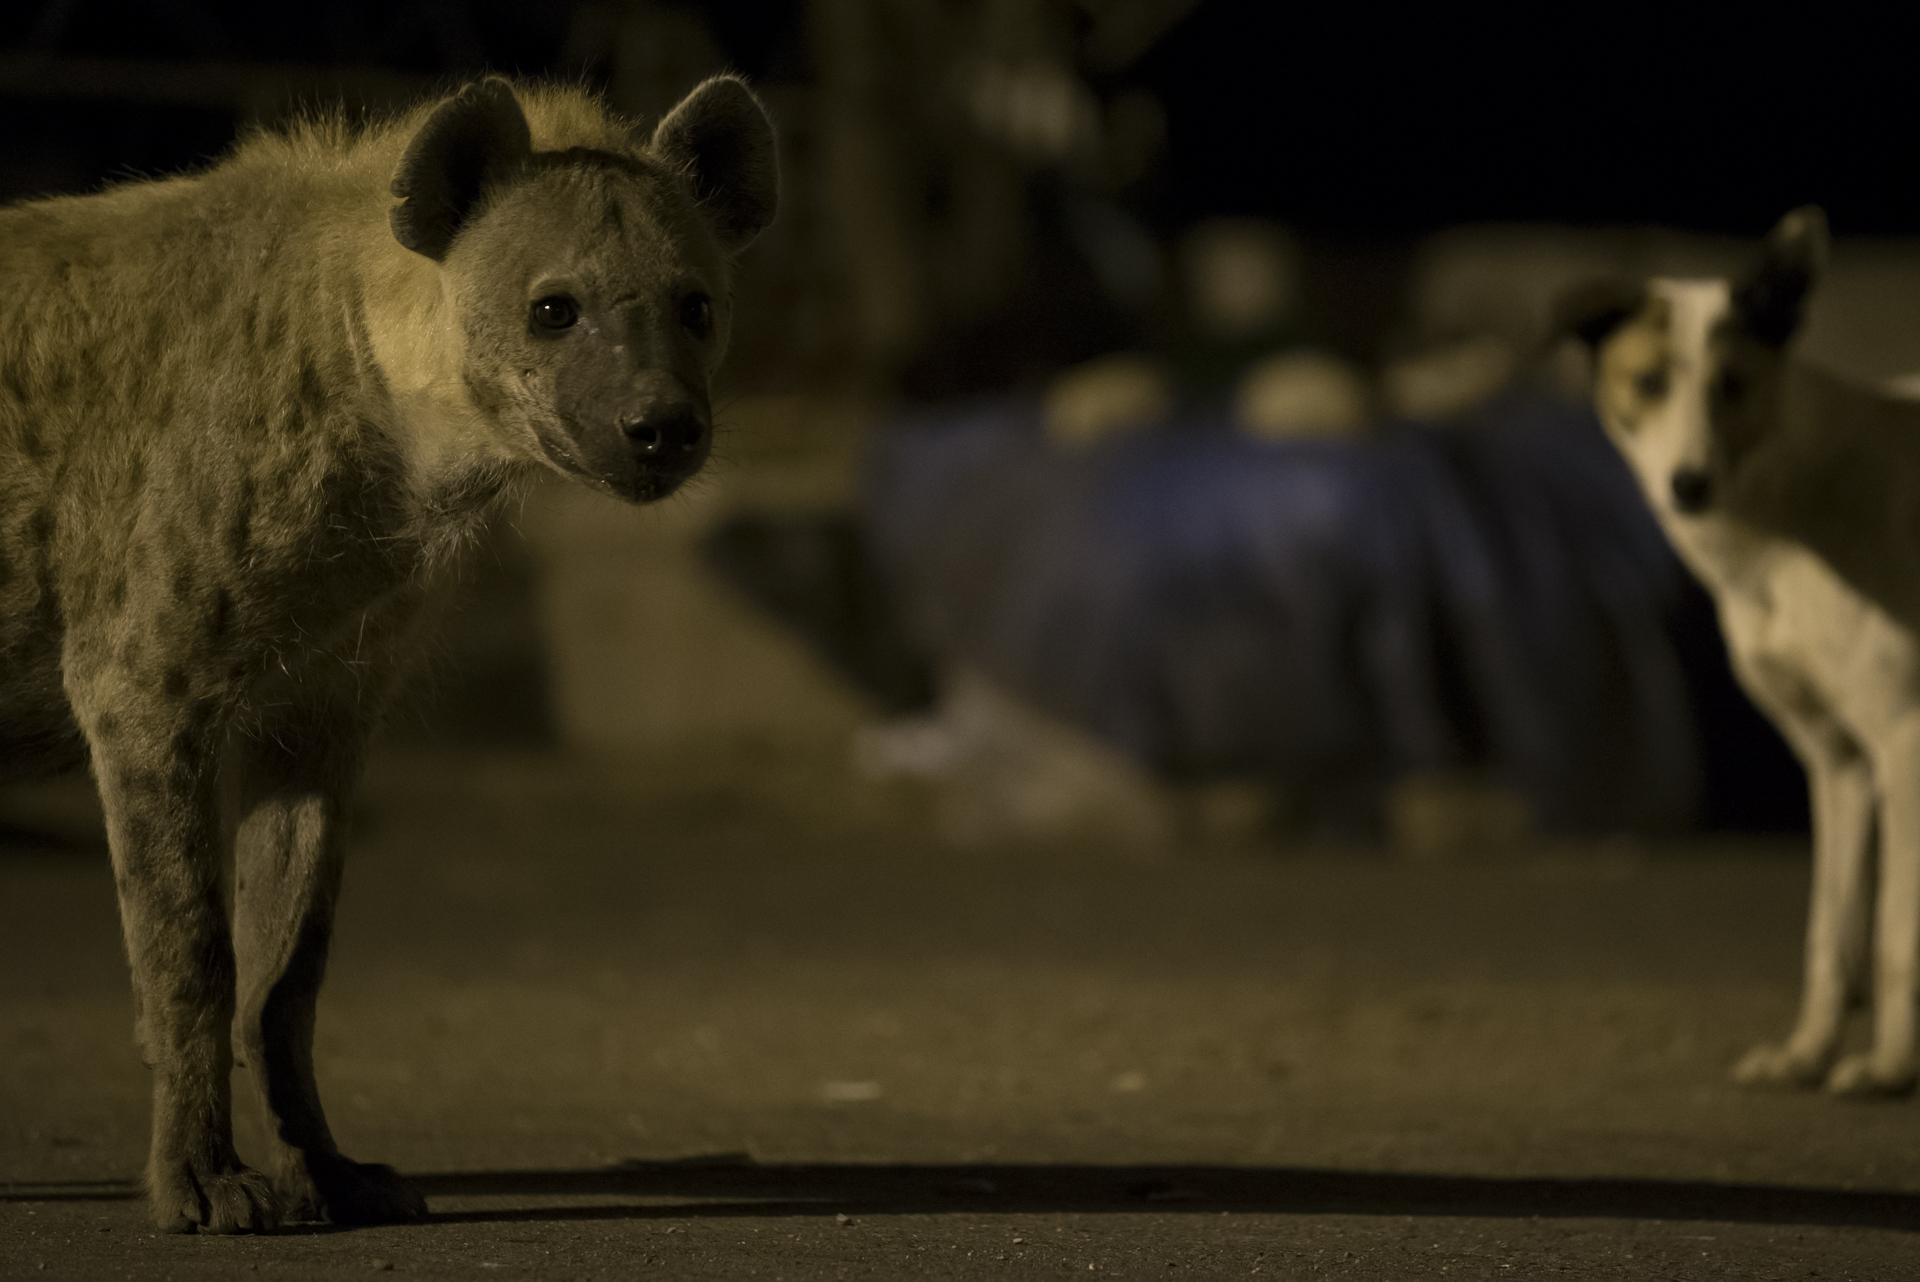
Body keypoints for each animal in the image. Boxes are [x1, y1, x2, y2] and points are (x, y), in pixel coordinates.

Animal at [1566, 208, 1920, 1090]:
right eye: (1649, 382)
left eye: (1733, 385)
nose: (1689, 487)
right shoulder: (1840, 764)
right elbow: (1831, 934)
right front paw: (1806, 1054)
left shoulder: (1905, 742)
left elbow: (1895, 931)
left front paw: (1890, 1068)